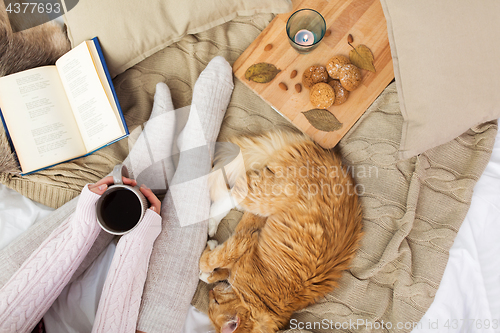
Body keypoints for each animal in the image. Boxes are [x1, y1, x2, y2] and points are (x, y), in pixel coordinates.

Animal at [199, 131, 364, 330]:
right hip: (265, 198)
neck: (264, 303)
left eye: (214, 302)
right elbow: (212, 261)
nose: (210, 294)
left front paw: (207, 269)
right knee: (233, 190)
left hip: (262, 199)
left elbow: (212, 265)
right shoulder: (245, 241)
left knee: (233, 192)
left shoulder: (244, 244)